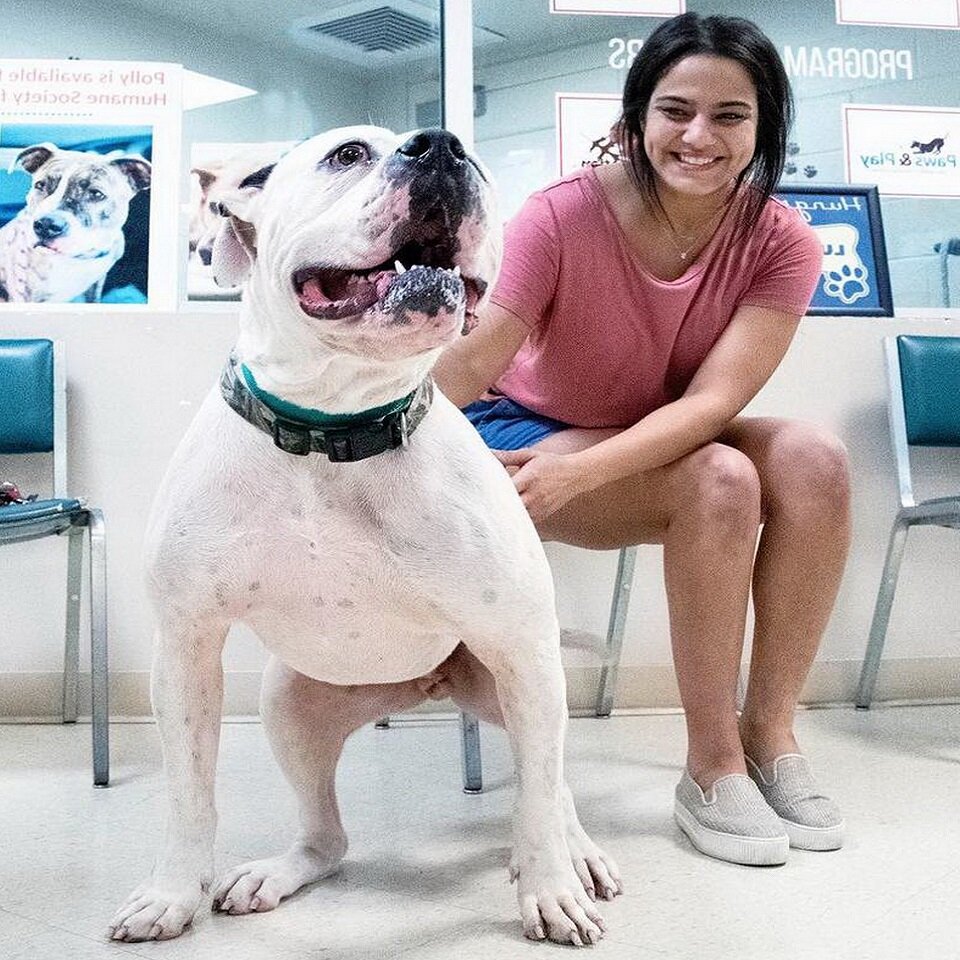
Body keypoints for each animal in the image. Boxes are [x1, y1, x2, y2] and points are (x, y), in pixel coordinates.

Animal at [0, 140, 151, 300]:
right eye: (40, 185)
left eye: (96, 193)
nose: (46, 225)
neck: (76, 258)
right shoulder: (26, 294)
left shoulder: (96, 283)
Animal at [109, 125, 620, 944]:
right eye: (347, 154)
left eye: (474, 160)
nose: (442, 147)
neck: (332, 428)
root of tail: (420, 688)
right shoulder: (186, 649)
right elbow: (190, 792)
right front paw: (172, 894)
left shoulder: (520, 643)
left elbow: (540, 799)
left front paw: (549, 888)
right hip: (291, 707)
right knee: (329, 836)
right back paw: (279, 873)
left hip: (517, 684)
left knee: (552, 787)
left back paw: (573, 856)